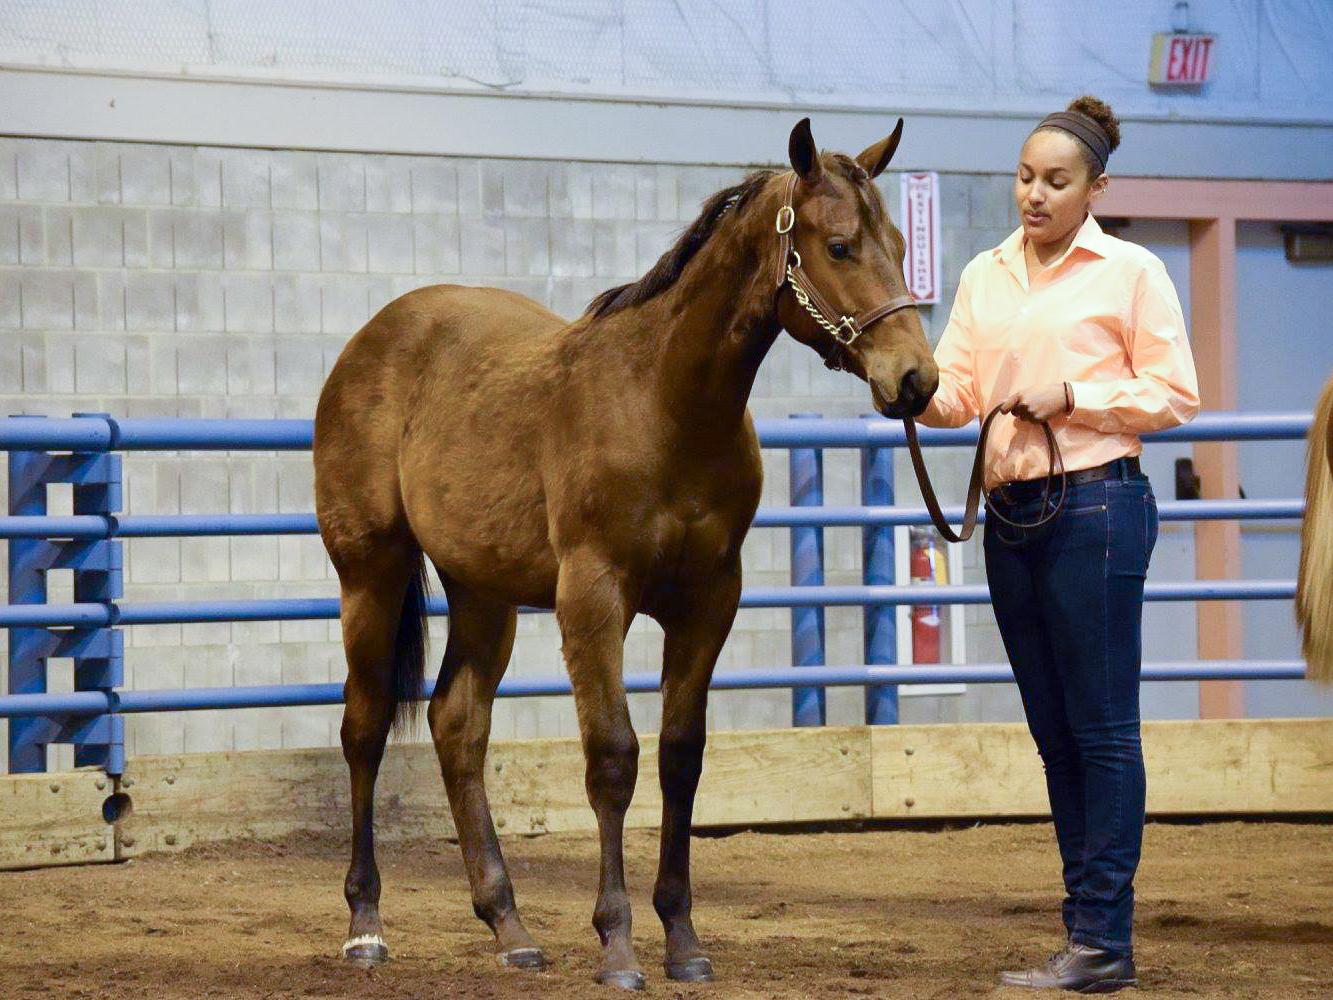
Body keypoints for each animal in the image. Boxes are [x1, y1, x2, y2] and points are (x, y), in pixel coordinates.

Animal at [312, 117, 939, 990]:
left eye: (899, 244)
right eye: (840, 246)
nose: (915, 379)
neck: (663, 402)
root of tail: (373, 339)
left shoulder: (708, 602)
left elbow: (680, 758)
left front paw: (681, 939)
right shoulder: (593, 595)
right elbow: (612, 758)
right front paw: (616, 946)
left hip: (483, 592)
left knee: (457, 725)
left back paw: (510, 928)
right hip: (370, 571)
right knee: (365, 727)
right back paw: (366, 926)